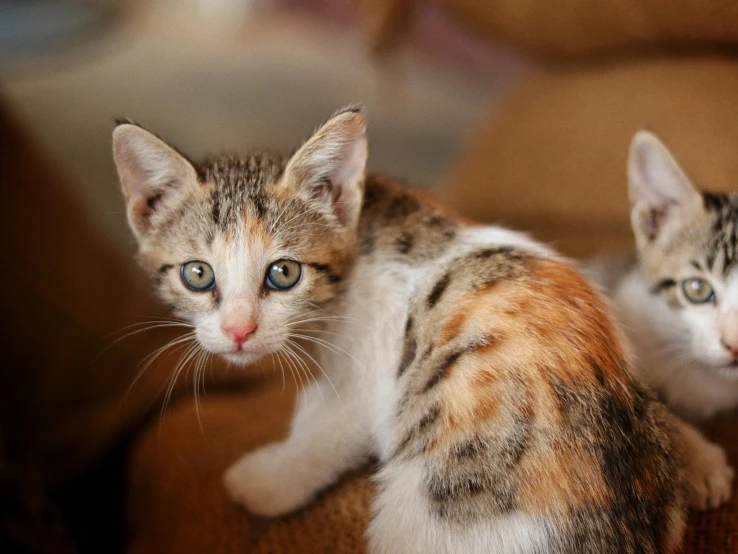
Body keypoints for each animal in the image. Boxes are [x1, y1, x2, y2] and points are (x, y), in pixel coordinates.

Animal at [112, 109, 688, 552]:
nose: (238, 331)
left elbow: (328, 433)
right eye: (197, 274)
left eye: (283, 273)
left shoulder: (375, 366)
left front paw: (266, 481)